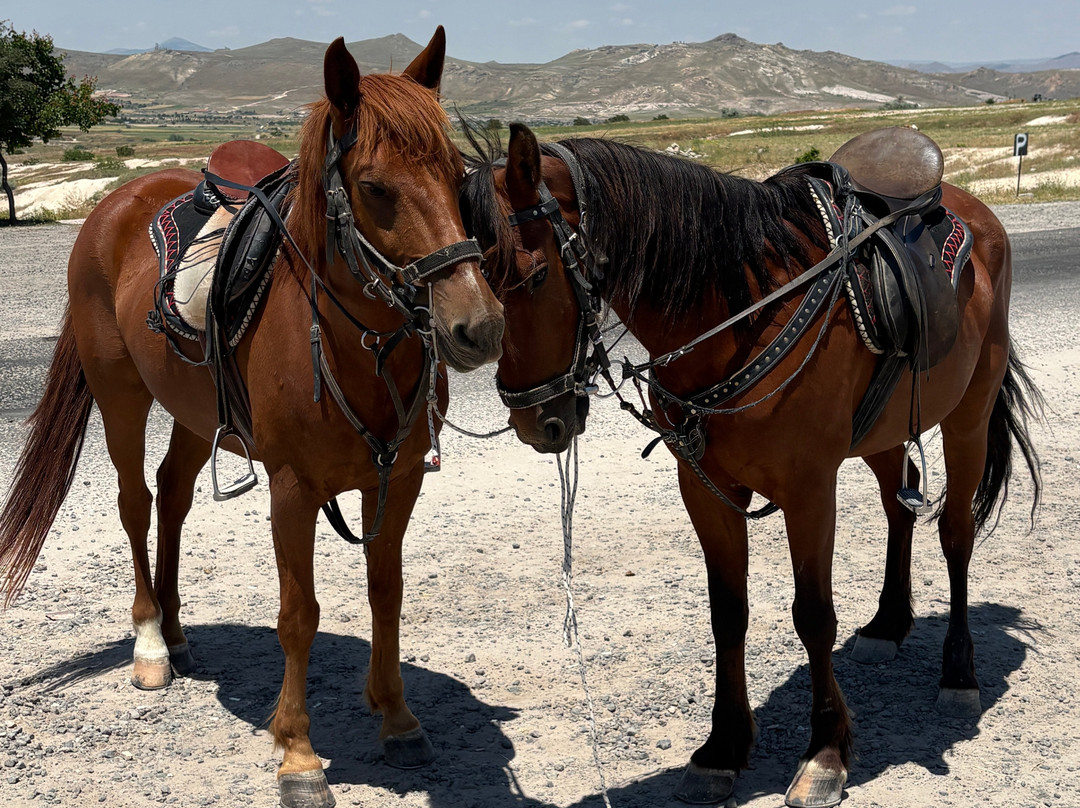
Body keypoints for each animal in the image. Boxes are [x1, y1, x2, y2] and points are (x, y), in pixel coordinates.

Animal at [0, 29, 504, 808]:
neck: (348, 345)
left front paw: (396, 718)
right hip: (121, 397)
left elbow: (385, 594)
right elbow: (299, 616)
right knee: (135, 501)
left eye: (457, 176)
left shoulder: (398, 481)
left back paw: (176, 630)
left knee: (173, 494)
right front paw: (297, 754)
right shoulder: (291, 489)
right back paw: (150, 642)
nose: (478, 326)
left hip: (189, 411)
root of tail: (114, 205)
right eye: (374, 187)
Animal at [461, 122, 1041, 807]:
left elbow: (813, 616)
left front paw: (824, 754)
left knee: (955, 532)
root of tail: (975, 211)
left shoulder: (810, 490)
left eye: (532, 277)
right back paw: (888, 622)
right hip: (882, 431)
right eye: (471, 275)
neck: (744, 313)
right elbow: (727, 614)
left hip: (968, 417)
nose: (536, 419)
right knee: (901, 502)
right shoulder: (705, 490)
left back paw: (958, 671)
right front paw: (724, 747)